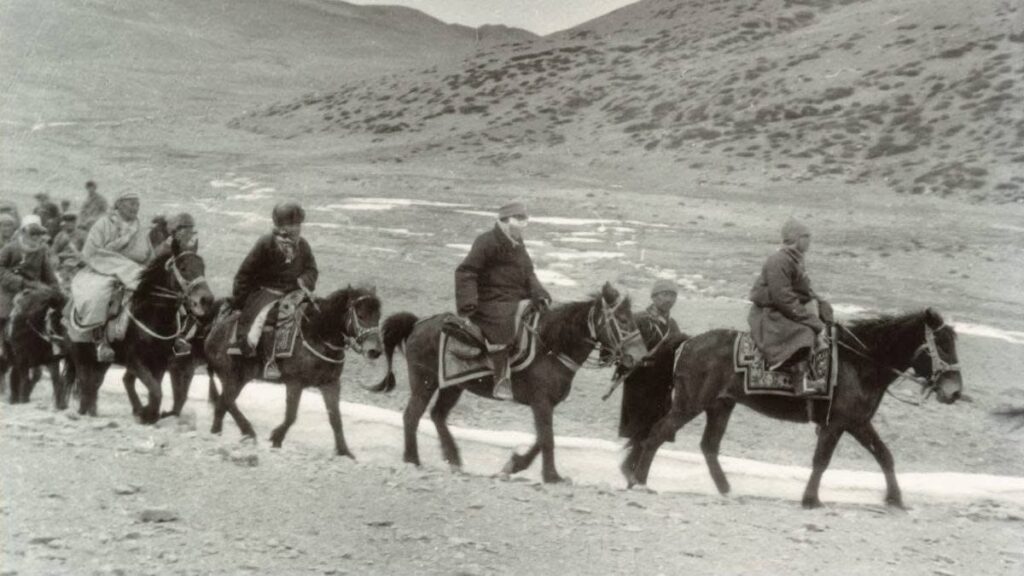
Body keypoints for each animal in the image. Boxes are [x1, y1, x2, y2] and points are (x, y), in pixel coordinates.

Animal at [68, 240, 214, 423]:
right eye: (183, 268)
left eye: (202, 267)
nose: (206, 300)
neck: (151, 315)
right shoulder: (135, 361)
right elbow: (156, 391)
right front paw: (147, 413)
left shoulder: (160, 362)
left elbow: (155, 390)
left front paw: (148, 413)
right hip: (80, 353)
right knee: (86, 382)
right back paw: (82, 411)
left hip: (104, 362)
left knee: (99, 383)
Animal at [204, 286, 383, 457]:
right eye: (361, 315)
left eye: (378, 316)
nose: (375, 351)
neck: (317, 335)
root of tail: (214, 332)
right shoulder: (295, 383)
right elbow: (291, 415)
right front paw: (276, 438)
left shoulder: (331, 384)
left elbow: (335, 418)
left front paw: (344, 451)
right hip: (232, 377)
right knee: (224, 403)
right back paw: (225, 433)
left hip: (239, 378)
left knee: (226, 403)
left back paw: (237, 432)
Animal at [366, 282, 649, 483]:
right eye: (623, 320)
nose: (641, 356)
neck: (551, 347)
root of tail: (416, 324)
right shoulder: (541, 402)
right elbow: (547, 438)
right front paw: (552, 476)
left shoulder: (544, 405)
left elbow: (541, 438)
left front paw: (515, 465)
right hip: (425, 383)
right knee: (412, 416)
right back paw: (412, 459)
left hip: (453, 386)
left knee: (437, 416)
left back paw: (453, 458)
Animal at [622, 308, 963, 508]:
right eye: (942, 344)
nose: (955, 391)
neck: (860, 361)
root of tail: (689, 342)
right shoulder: (839, 423)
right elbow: (822, 461)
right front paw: (811, 499)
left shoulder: (858, 422)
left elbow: (884, 456)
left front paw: (895, 499)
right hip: (690, 405)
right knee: (657, 433)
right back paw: (639, 482)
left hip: (720, 406)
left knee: (708, 447)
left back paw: (726, 489)